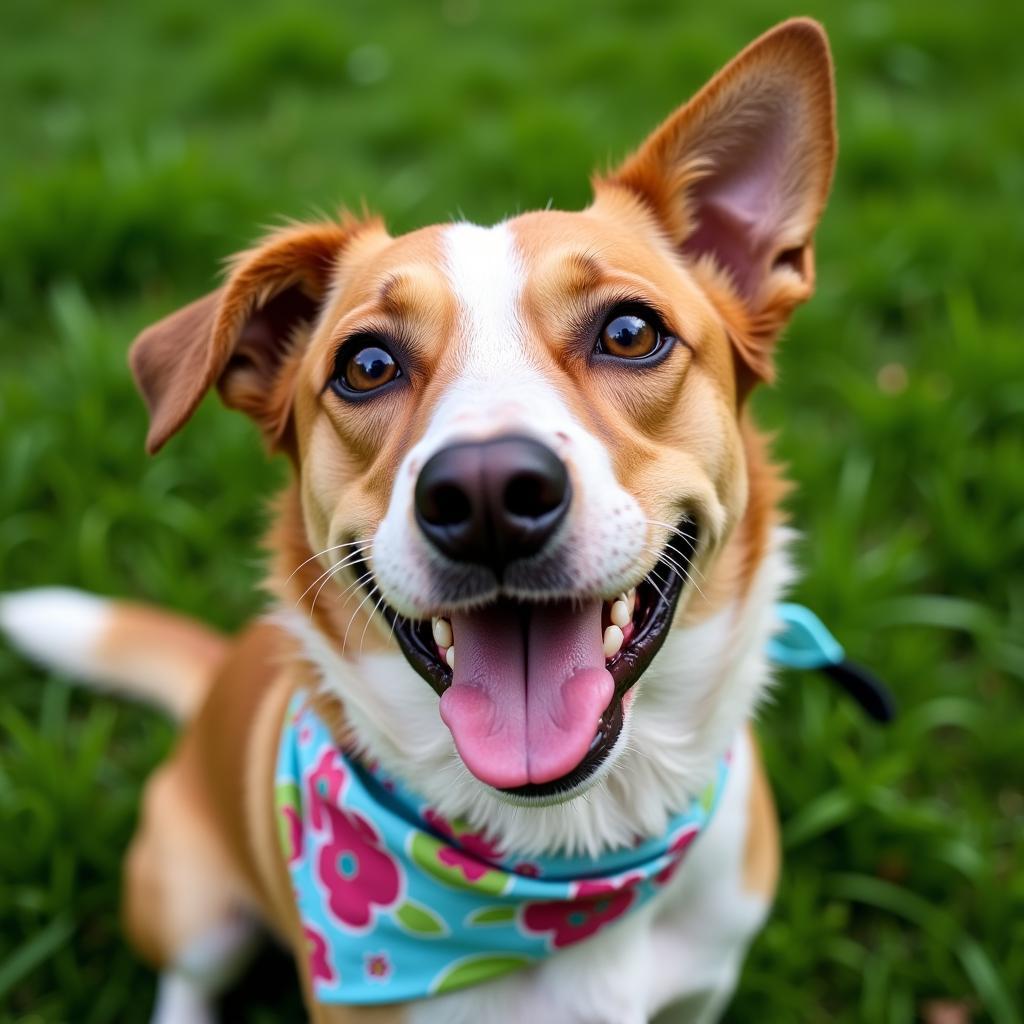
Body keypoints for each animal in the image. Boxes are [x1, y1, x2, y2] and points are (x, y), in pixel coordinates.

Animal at [0, 18, 835, 1024]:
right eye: (366, 365)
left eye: (631, 332)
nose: (486, 493)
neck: (563, 857)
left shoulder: (704, 987)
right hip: (190, 901)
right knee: (186, 983)